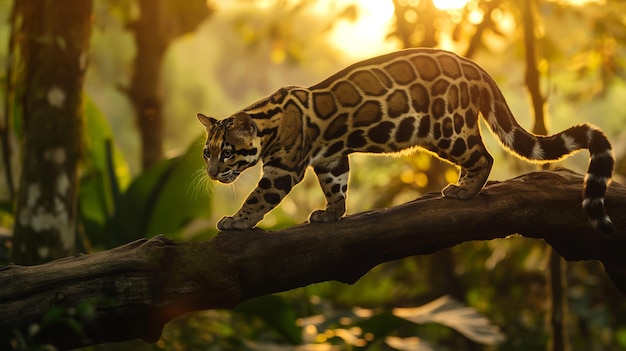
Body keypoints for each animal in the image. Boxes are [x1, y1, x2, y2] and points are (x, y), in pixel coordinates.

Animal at [197, 47, 612, 234]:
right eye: (206, 152)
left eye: (228, 153)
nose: (213, 173)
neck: (267, 121)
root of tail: (476, 67)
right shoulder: (330, 158)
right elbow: (336, 186)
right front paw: (332, 212)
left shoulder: (282, 169)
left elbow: (257, 198)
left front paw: (236, 221)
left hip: (447, 128)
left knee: (484, 157)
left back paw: (463, 191)